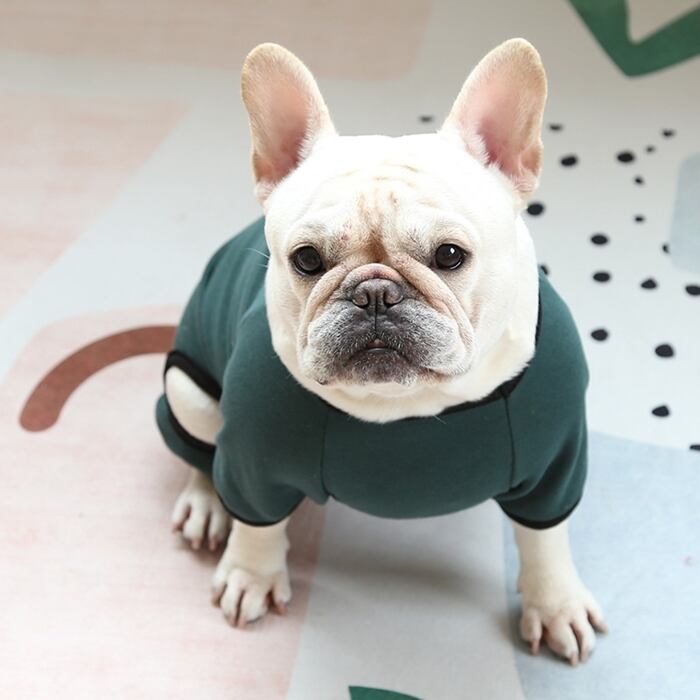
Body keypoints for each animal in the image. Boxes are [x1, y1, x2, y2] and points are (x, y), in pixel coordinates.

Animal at [156, 38, 607, 666]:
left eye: (449, 255)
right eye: (306, 259)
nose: (374, 294)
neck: (406, 407)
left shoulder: (554, 464)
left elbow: (546, 538)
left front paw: (556, 603)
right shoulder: (252, 460)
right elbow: (257, 524)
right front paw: (251, 575)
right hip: (188, 392)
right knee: (202, 454)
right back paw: (206, 505)